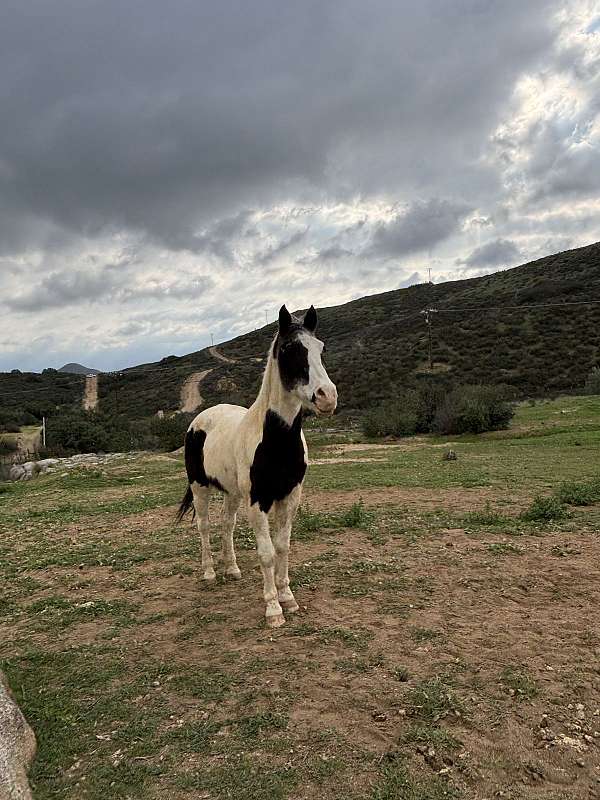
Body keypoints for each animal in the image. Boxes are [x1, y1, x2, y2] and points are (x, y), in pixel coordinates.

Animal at [176, 304, 337, 627]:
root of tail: (200, 420)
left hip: (231, 493)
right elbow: (266, 552)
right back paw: (210, 573)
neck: (274, 441)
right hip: (200, 488)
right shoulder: (258, 500)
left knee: (226, 524)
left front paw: (288, 598)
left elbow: (283, 546)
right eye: (289, 349)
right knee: (204, 525)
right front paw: (273, 609)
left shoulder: (290, 497)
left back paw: (231, 569)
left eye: (321, 348)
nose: (327, 397)